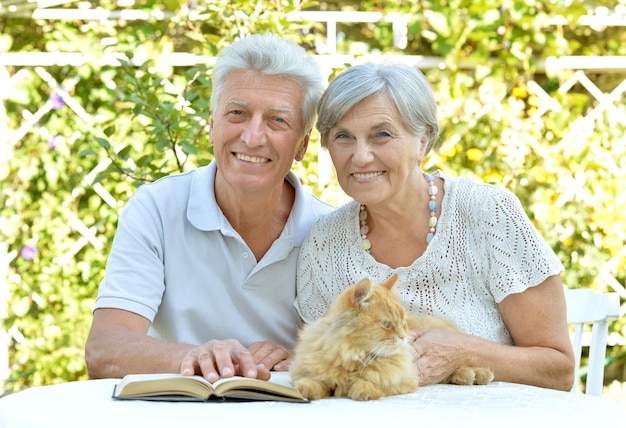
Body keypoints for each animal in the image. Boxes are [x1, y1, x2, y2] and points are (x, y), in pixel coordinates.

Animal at [292, 274, 492, 402]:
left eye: (403, 323)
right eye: (387, 324)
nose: (403, 337)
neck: (355, 354)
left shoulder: (406, 379)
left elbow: (375, 382)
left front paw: (363, 389)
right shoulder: (304, 371)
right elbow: (317, 382)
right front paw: (306, 389)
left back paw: (476, 375)